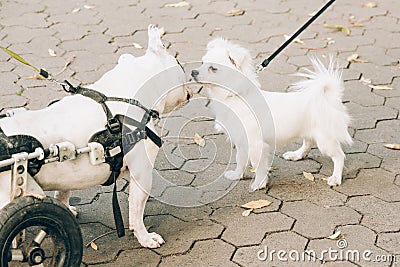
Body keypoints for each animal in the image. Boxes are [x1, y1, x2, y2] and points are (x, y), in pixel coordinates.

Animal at [0, 25, 191, 249]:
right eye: (180, 65)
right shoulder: (142, 171)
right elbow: (137, 208)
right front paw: (145, 237)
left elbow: (63, 193)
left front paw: (65, 210)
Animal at [192, 38, 352, 192]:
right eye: (202, 63)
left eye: (213, 68)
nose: (193, 72)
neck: (235, 96)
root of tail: (327, 98)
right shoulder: (242, 141)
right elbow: (240, 160)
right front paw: (237, 175)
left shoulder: (256, 144)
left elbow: (258, 165)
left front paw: (259, 183)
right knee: (308, 143)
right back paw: (296, 155)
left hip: (325, 140)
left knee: (339, 156)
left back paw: (335, 178)